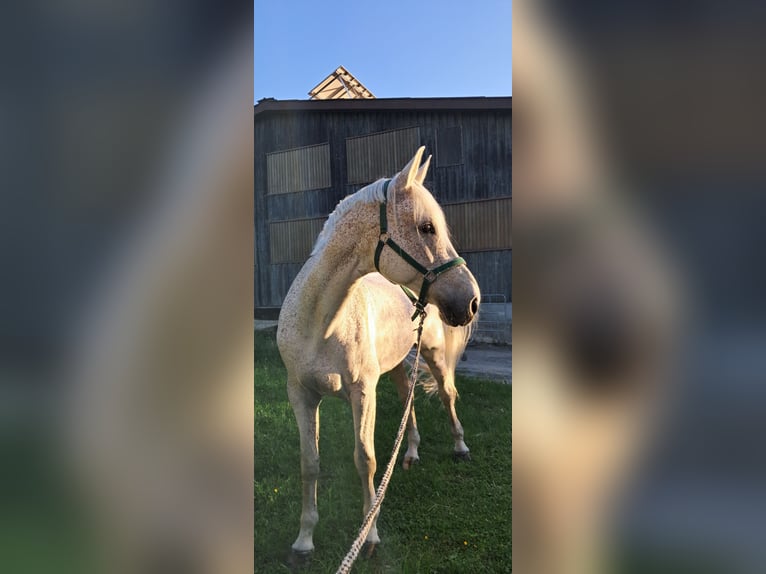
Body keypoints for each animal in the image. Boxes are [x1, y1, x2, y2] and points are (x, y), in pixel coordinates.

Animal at [276, 146, 480, 560]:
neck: (319, 323)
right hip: (401, 365)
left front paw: (368, 536)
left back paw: (460, 446)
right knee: (408, 401)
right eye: (426, 228)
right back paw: (411, 453)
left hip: (433, 356)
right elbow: (310, 462)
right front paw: (304, 540)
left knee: (447, 396)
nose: (472, 300)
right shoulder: (301, 395)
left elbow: (365, 460)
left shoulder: (363, 393)